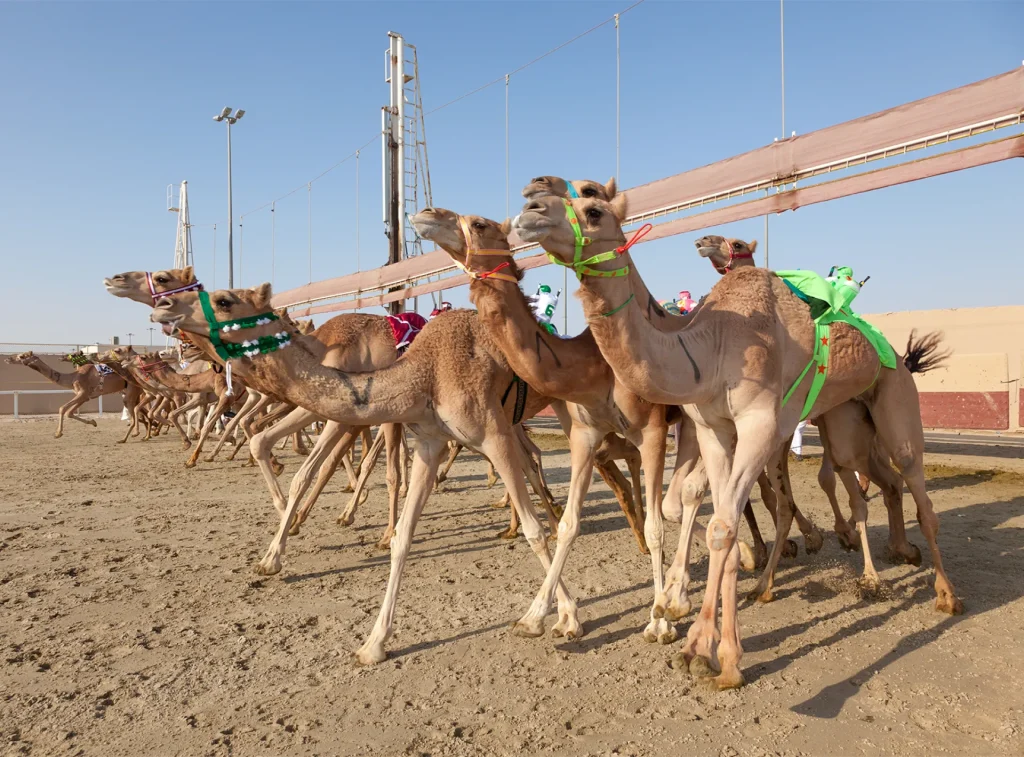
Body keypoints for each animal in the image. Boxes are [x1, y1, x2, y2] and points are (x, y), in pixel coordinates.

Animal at [149, 285, 592, 665]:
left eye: (223, 300)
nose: (162, 307)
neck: (426, 372)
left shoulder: (490, 433)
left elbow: (535, 533)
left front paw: (563, 616)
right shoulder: (428, 441)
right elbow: (402, 537)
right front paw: (373, 643)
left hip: (560, 413)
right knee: (538, 466)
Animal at [513, 190, 961, 689]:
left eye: (592, 208)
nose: (529, 210)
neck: (710, 348)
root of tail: (900, 355)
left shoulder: (758, 424)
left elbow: (722, 525)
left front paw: (702, 645)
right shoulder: (713, 430)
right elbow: (717, 526)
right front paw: (708, 648)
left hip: (896, 399)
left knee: (916, 488)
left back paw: (943, 593)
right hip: (846, 421)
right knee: (870, 479)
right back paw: (886, 559)